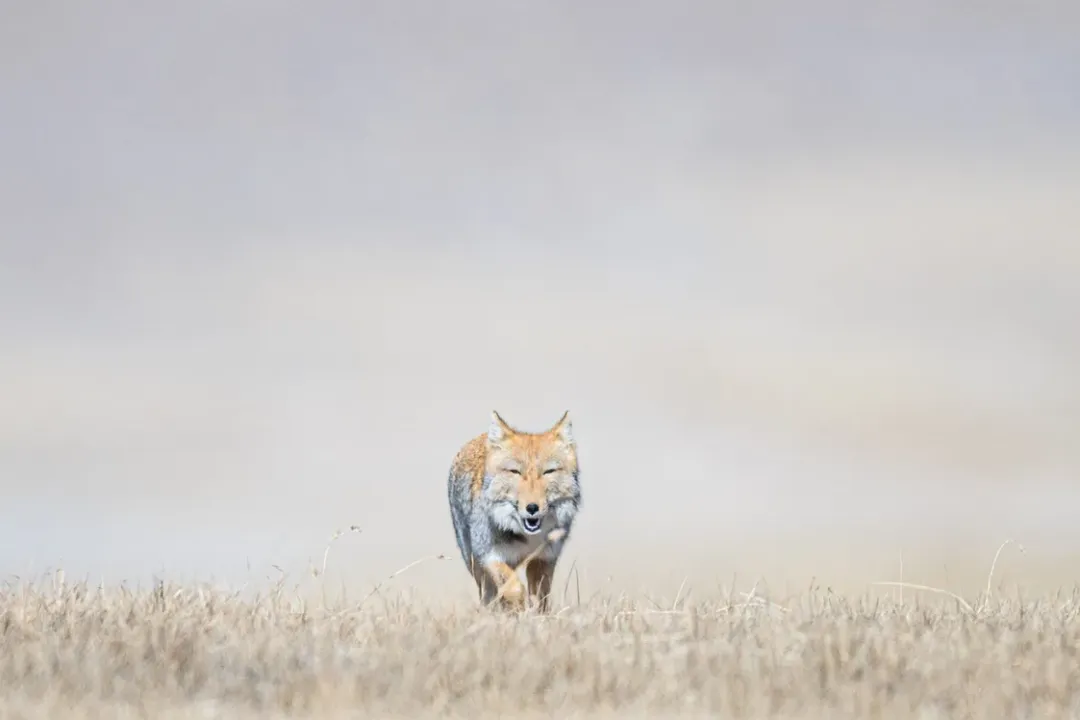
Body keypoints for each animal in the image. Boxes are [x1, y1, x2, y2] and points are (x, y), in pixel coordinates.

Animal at [446, 410, 581, 612]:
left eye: (548, 471)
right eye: (515, 471)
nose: (532, 508)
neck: (526, 537)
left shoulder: (544, 558)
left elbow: (540, 597)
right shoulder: (490, 556)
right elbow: (514, 588)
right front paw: (518, 610)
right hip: (475, 564)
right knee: (488, 595)